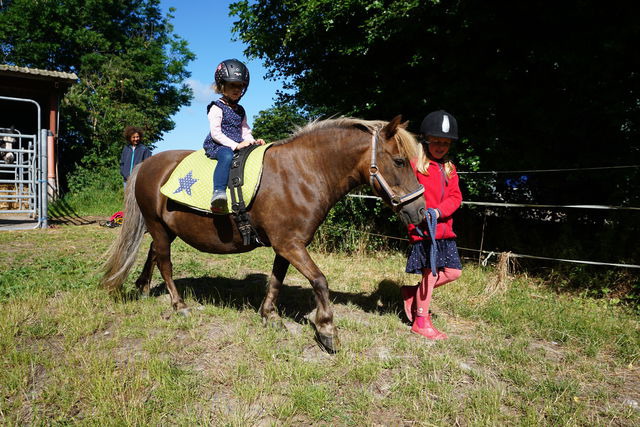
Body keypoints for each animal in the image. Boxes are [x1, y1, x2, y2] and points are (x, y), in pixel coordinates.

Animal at [101, 115, 424, 352]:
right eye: (399, 161)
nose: (420, 210)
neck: (302, 173)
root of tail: (147, 164)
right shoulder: (291, 245)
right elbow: (320, 281)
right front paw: (327, 329)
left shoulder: (287, 244)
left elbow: (276, 280)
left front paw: (270, 315)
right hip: (157, 226)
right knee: (165, 263)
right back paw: (179, 305)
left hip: (166, 229)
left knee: (153, 254)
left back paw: (143, 288)